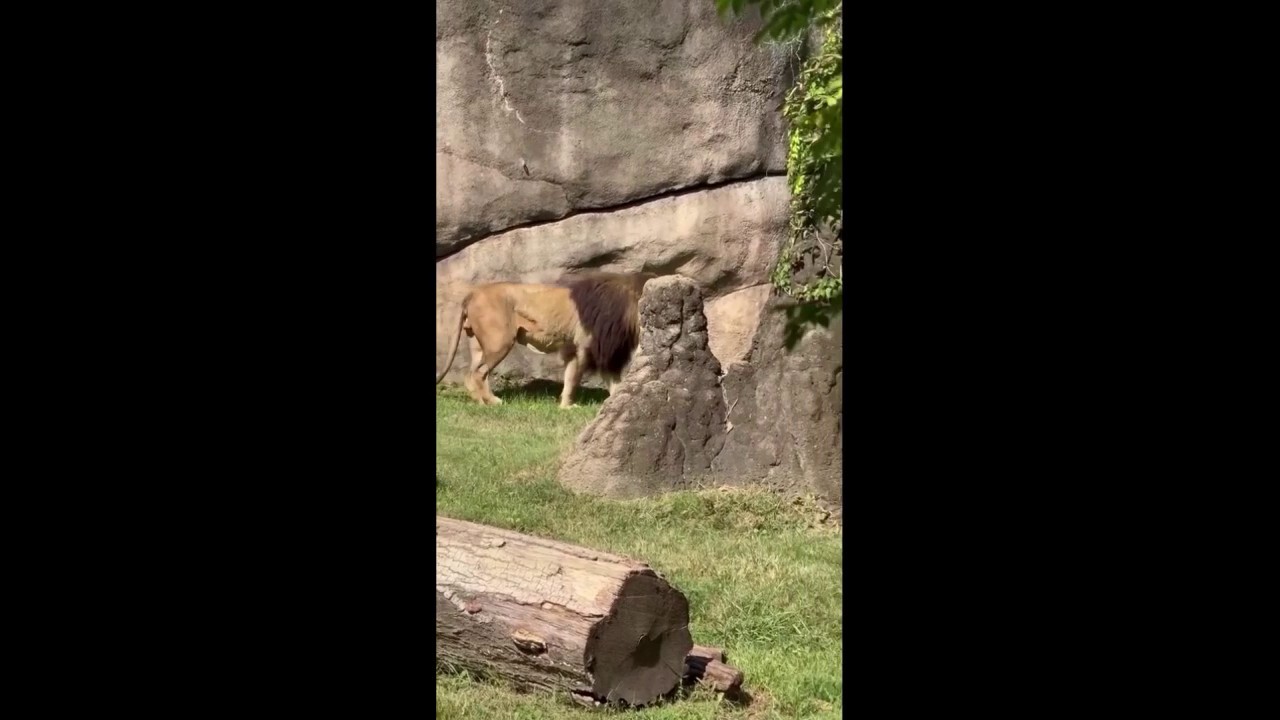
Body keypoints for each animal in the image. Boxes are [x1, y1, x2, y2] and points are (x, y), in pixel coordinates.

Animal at [435, 270, 655, 407]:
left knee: (471, 374)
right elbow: (575, 378)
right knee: (480, 373)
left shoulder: (580, 350)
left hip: (478, 344)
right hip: (500, 341)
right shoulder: (588, 347)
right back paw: (494, 402)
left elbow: (579, 377)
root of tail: (472, 293)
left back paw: (481, 403)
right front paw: (570, 406)